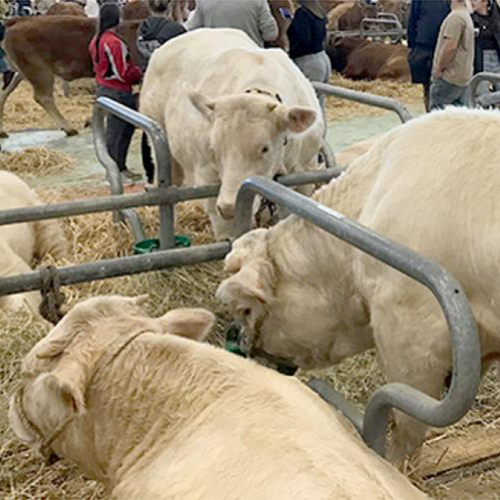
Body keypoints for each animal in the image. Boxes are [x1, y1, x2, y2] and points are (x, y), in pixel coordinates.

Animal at [1, 15, 141, 137]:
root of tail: (21, 20)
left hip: (21, 72)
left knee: (4, 93)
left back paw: (2, 131)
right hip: (39, 70)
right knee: (43, 97)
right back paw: (68, 128)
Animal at [140, 28, 324, 240]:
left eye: (265, 148)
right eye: (214, 148)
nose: (229, 207)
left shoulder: (305, 170)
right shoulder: (208, 175)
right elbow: (226, 231)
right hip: (158, 135)